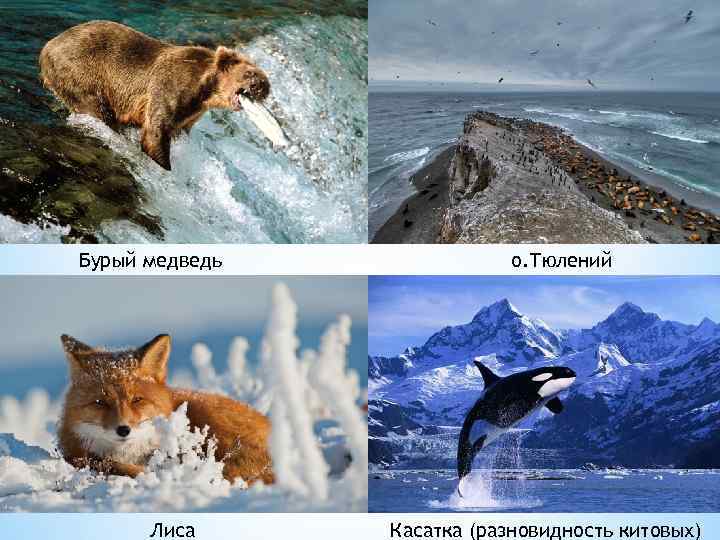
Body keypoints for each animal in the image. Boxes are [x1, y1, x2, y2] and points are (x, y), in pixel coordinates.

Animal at [39, 20, 270, 170]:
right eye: (249, 74)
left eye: (266, 81)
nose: (262, 87)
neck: (206, 90)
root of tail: (47, 46)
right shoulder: (173, 86)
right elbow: (156, 130)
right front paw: (163, 164)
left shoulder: (192, 113)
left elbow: (176, 129)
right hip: (80, 70)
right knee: (97, 109)